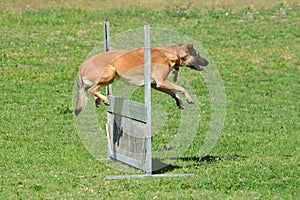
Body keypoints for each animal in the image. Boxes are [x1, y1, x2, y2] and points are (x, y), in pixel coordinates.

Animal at [74, 44, 209, 115]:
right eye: (198, 54)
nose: (207, 62)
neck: (169, 54)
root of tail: (81, 68)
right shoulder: (161, 81)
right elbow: (182, 88)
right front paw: (189, 99)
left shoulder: (155, 84)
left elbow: (173, 92)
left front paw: (179, 102)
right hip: (110, 72)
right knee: (91, 90)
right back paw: (104, 99)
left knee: (93, 90)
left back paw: (98, 100)